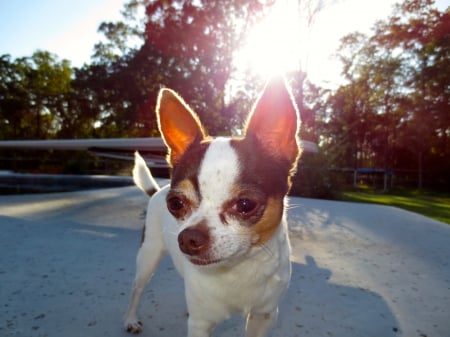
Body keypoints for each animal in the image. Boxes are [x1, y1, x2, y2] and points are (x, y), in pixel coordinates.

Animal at [125, 77, 300, 336]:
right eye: (175, 203)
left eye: (246, 204)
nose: (188, 238)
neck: (238, 269)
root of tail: (157, 191)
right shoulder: (201, 325)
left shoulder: (264, 316)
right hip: (148, 257)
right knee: (137, 288)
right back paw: (131, 319)